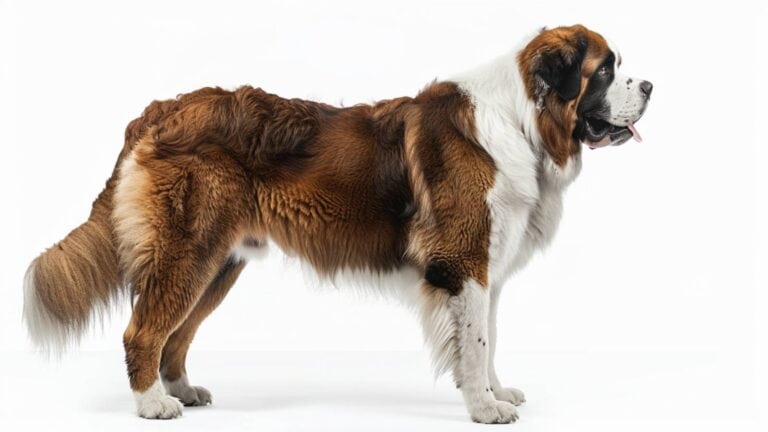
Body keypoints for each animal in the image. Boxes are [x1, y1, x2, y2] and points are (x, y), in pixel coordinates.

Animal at [22, 25, 648, 424]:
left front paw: (496, 392)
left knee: (175, 332)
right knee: (143, 330)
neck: (524, 122)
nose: (649, 86)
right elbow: (473, 343)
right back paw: (153, 404)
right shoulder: (464, 263)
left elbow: (488, 339)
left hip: (218, 263)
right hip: (190, 251)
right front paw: (483, 408)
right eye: (605, 70)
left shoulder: (485, 269)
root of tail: (160, 110)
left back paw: (181, 389)